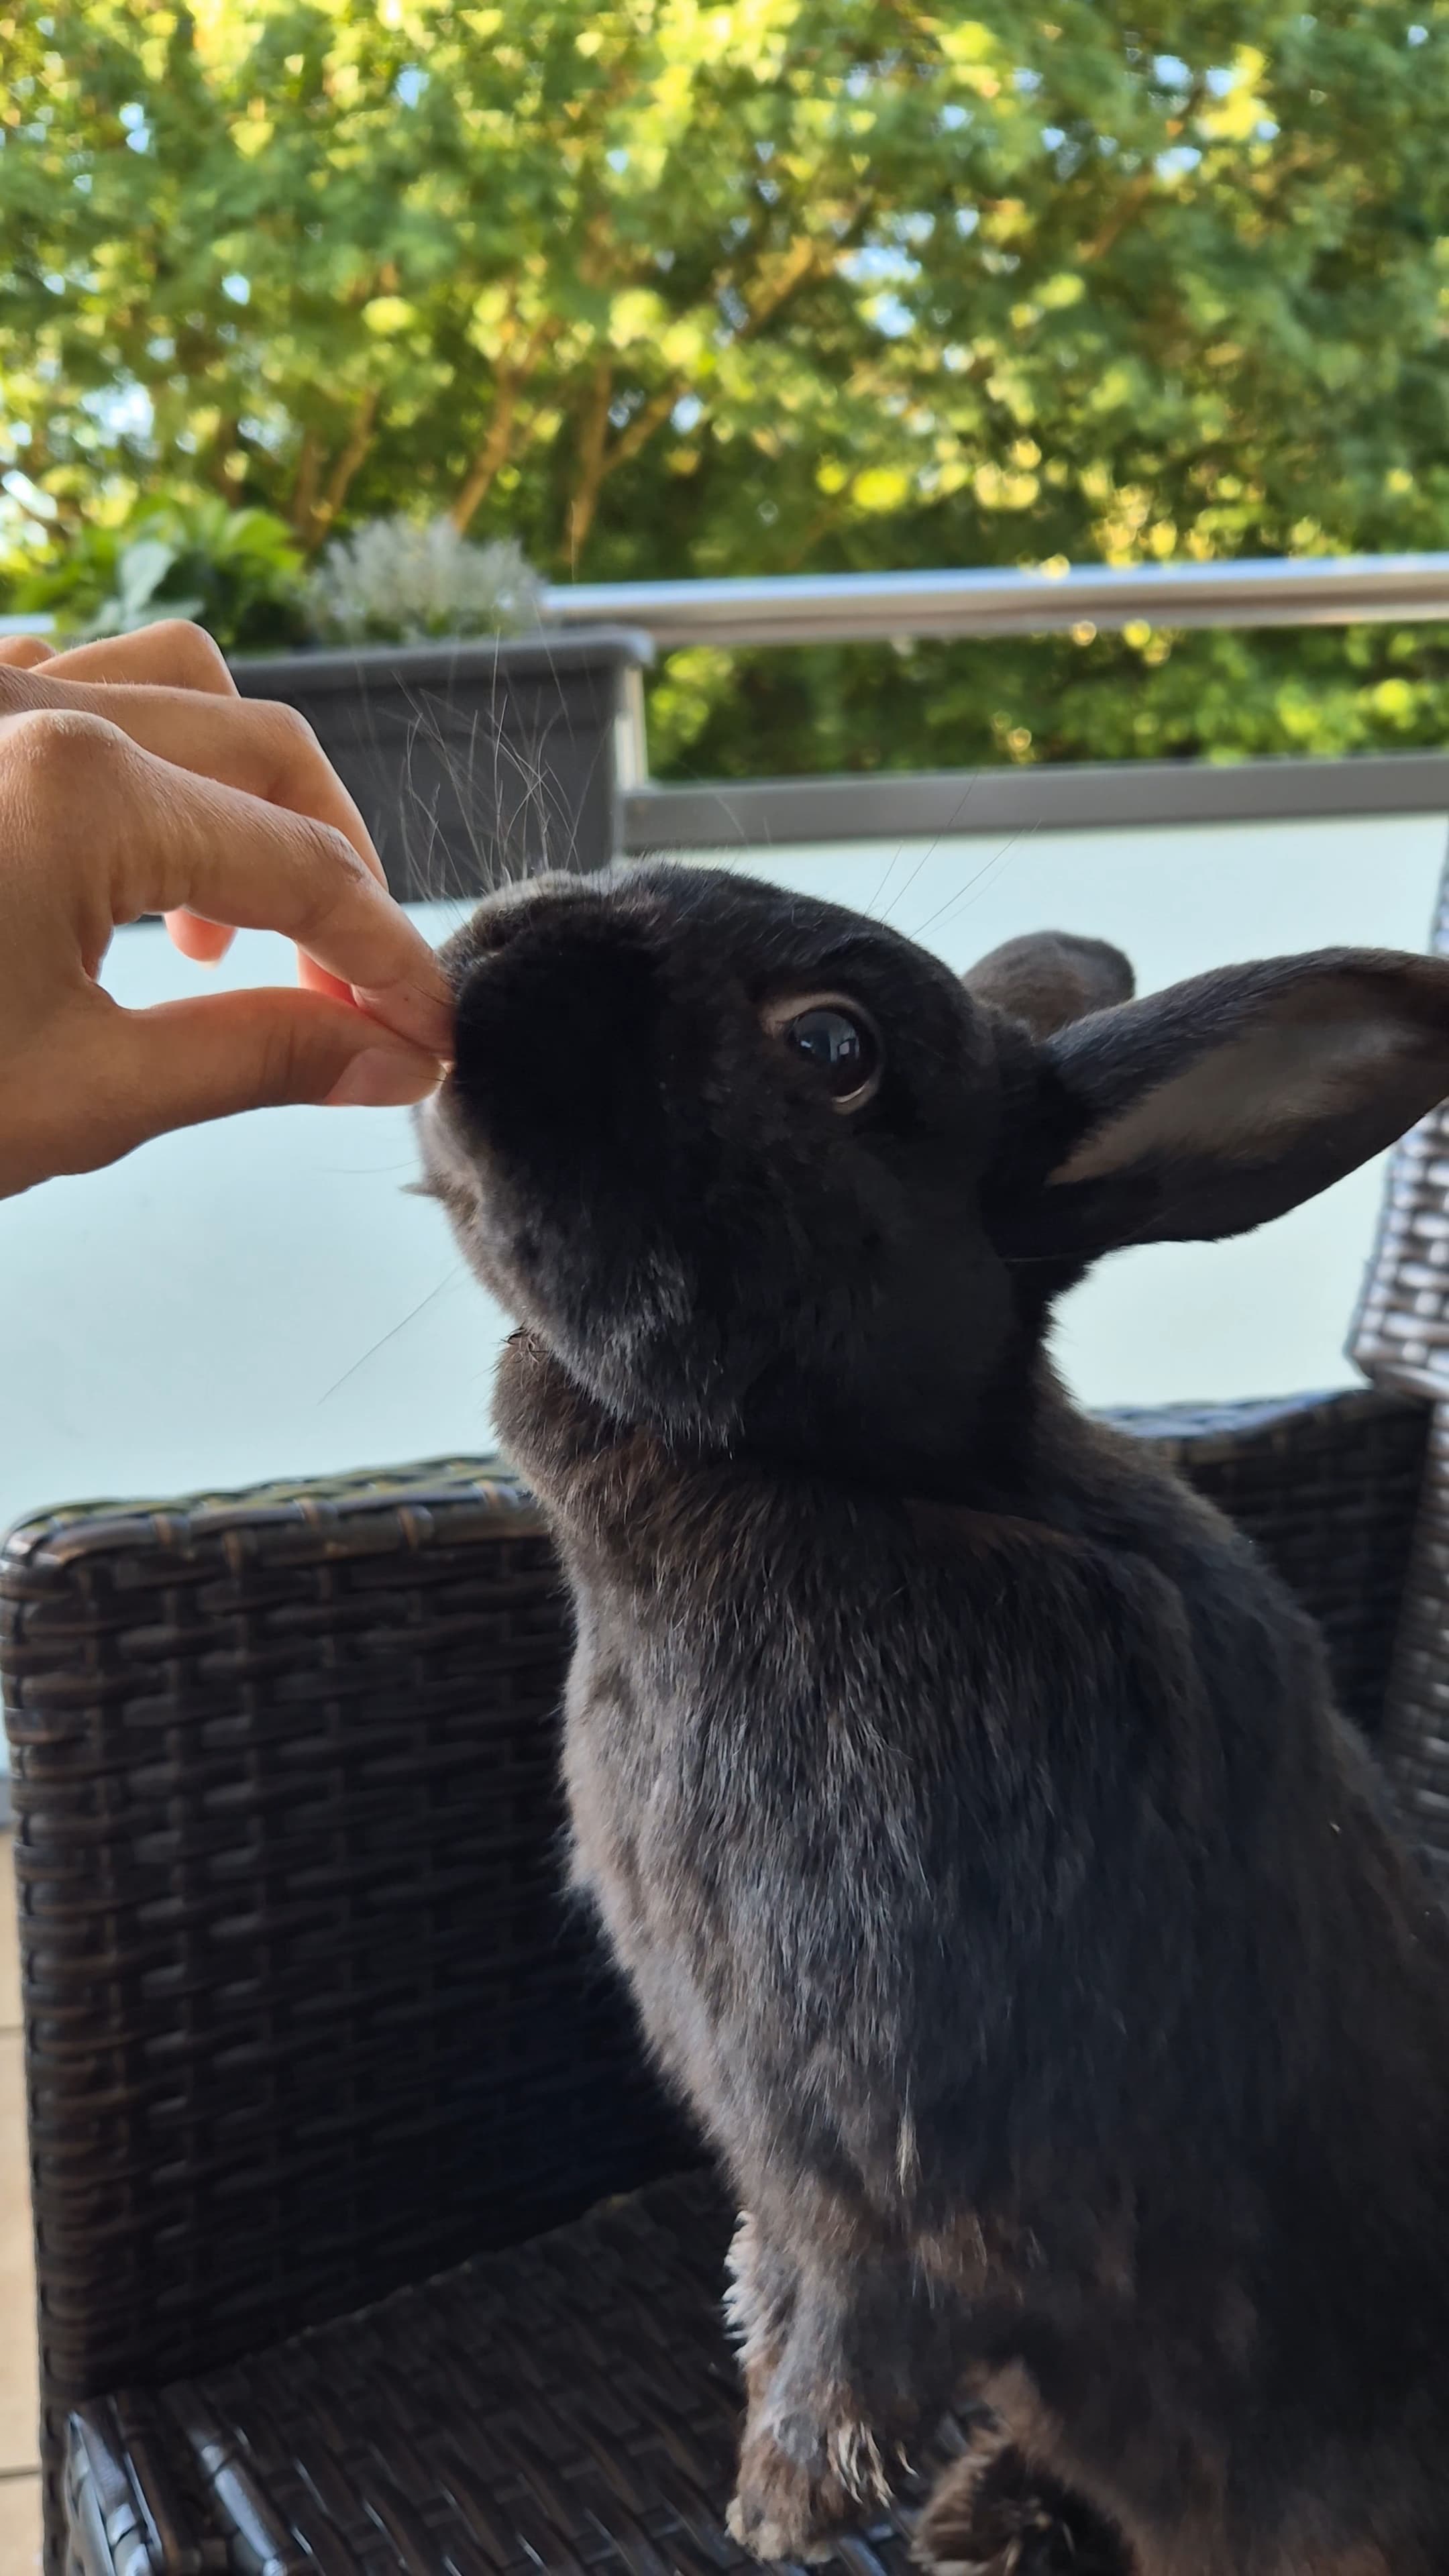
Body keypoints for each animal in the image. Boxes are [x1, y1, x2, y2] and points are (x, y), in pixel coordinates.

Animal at [416, 856, 1449, 2576]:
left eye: (832, 1045)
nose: (490, 947)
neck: (860, 1480)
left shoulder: (898, 2116)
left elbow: (870, 2295)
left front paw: (782, 2503)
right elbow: (788, 2272)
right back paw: (988, 2516)